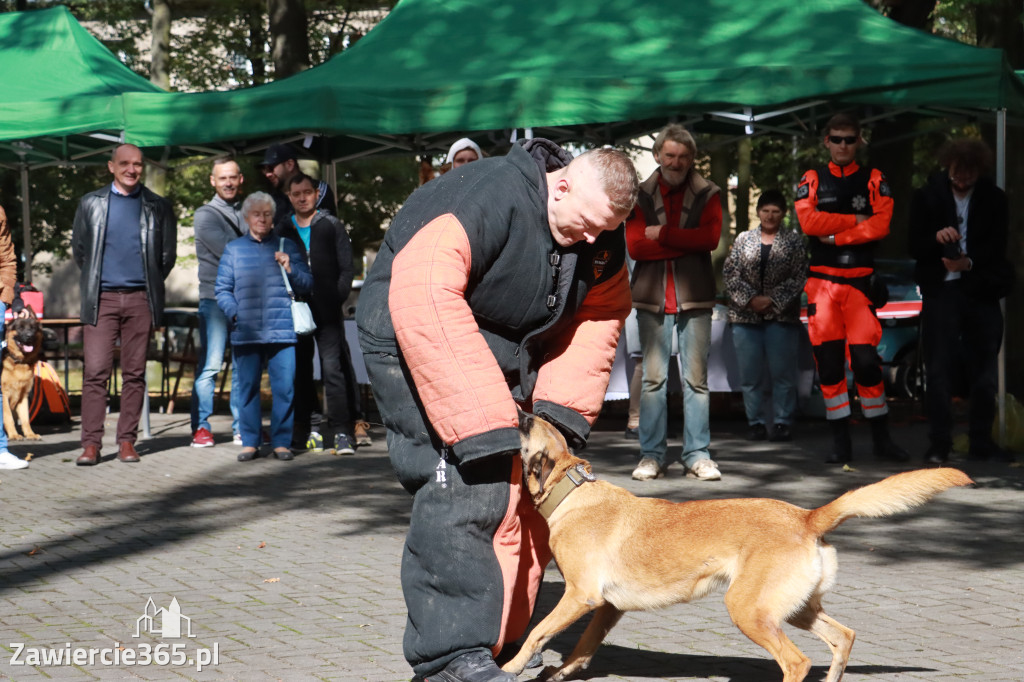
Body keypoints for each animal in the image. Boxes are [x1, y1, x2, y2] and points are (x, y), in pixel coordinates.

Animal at [2, 307, 43, 440]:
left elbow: (25, 419)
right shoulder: (3, 395)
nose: (29, 336)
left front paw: (30, 434)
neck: (20, 362)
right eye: (20, 328)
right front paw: (14, 434)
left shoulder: (23, 396)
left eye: (33, 328)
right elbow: (8, 417)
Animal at [512, 413, 974, 679]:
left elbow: (535, 633)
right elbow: (582, 649)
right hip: (793, 610)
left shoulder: (580, 597)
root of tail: (807, 516)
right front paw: (558, 673)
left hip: (748, 611)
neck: (572, 493)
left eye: (527, 427)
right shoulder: (608, 608)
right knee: (842, 638)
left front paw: (512, 668)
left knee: (797, 662)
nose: (521, 408)